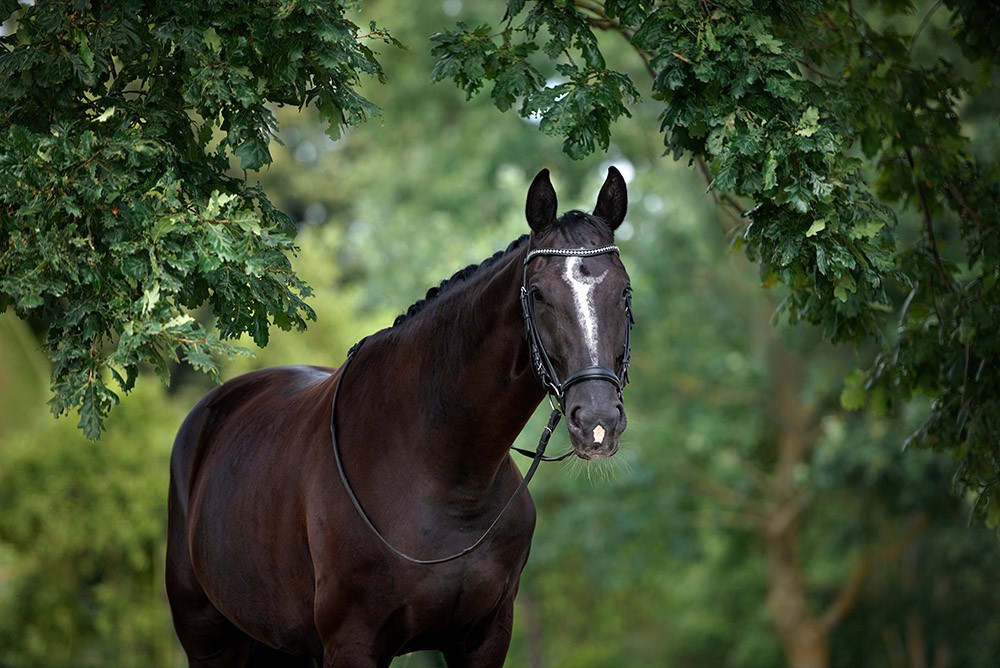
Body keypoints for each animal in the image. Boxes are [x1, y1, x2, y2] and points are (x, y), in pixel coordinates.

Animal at [164, 164, 632, 664]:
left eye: (624, 291)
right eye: (539, 294)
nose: (597, 422)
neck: (444, 476)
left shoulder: (486, 638)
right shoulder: (353, 642)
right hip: (208, 638)